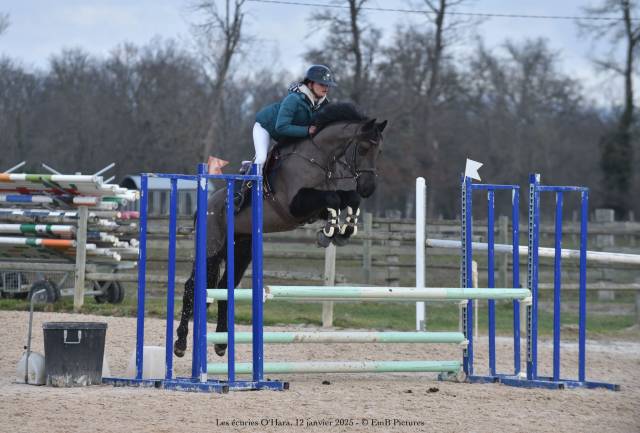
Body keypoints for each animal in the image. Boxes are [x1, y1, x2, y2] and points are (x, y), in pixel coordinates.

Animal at [172, 102, 388, 358]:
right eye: (363, 148)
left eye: (380, 151)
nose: (368, 188)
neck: (319, 159)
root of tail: (206, 205)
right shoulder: (295, 205)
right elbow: (333, 198)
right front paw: (329, 232)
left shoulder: (316, 207)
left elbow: (346, 198)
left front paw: (341, 231)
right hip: (212, 248)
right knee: (192, 286)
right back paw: (180, 344)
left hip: (241, 250)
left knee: (225, 288)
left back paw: (221, 344)